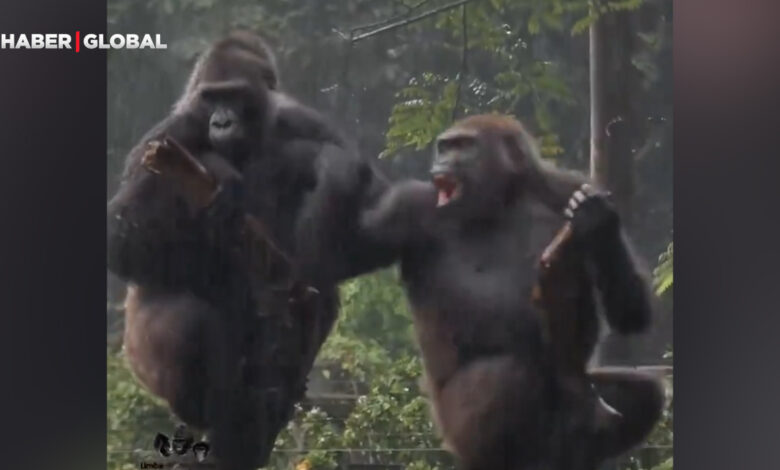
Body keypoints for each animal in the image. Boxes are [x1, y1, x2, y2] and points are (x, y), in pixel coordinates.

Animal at [106, 31, 394, 468]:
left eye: (236, 96)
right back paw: (201, 410)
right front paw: (219, 169)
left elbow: (365, 211)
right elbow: (124, 238)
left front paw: (330, 169)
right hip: (138, 353)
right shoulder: (172, 131)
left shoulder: (301, 119)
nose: (222, 122)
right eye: (211, 98)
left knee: (317, 295)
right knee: (186, 319)